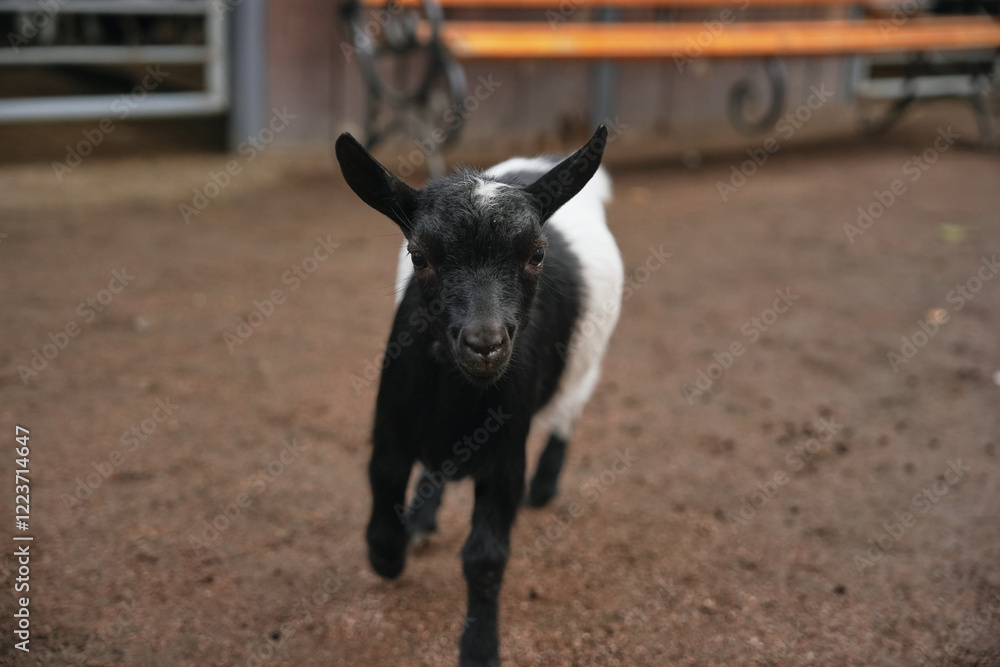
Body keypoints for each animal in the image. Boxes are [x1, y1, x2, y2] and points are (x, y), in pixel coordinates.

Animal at [335, 125, 623, 666]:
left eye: (536, 255)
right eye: (419, 256)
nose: (485, 344)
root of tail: (539, 163)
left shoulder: (506, 456)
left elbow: (485, 559)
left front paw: (480, 647)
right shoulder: (390, 430)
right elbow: (382, 499)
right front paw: (391, 552)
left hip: (586, 362)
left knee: (569, 411)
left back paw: (545, 486)